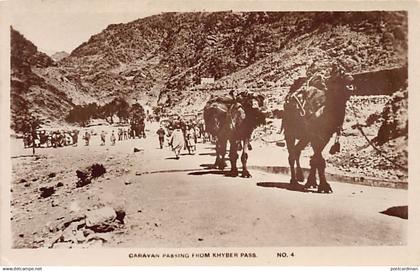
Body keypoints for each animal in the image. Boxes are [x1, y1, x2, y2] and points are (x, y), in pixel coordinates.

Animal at [282, 63, 354, 193]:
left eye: (347, 70)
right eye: (339, 73)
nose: (350, 78)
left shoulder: (325, 136)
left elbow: (315, 159)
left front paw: (312, 183)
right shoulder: (315, 135)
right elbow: (318, 160)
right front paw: (324, 186)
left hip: (305, 137)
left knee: (297, 151)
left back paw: (300, 177)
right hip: (289, 131)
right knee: (291, 154)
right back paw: (294, 182)